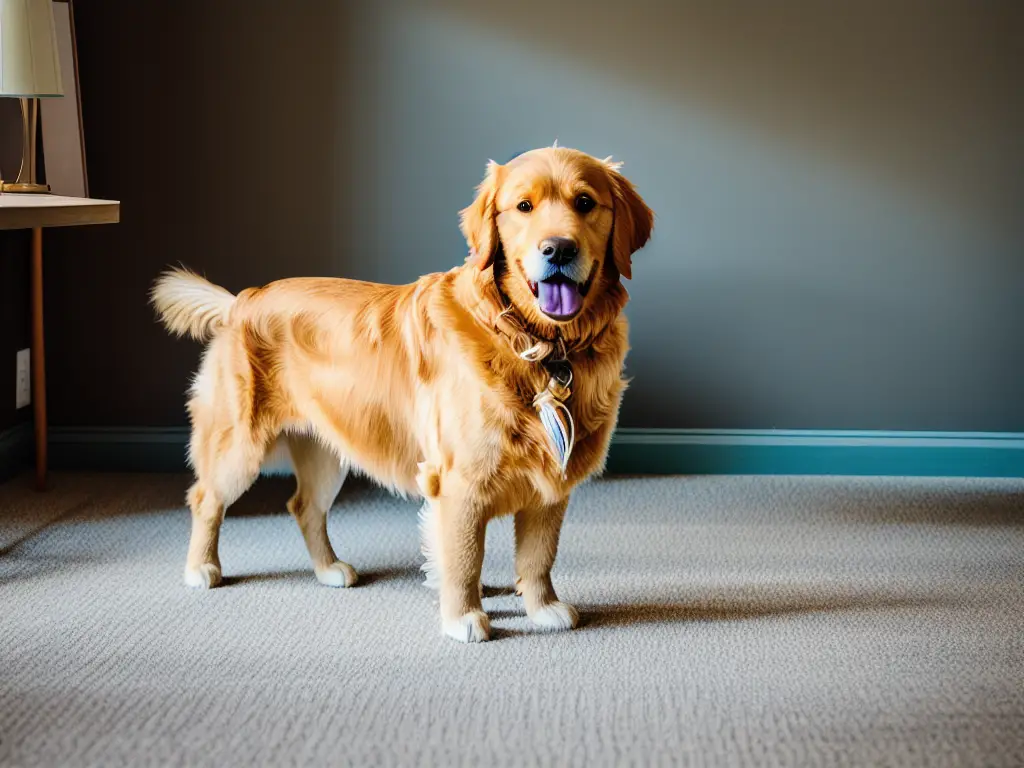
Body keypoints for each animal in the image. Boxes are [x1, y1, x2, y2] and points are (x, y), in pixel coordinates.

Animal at [149, 144, 651, 643]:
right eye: (524, 207)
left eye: (584, 202)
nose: (558, 249)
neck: (535, 343)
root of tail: (241, 300)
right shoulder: (459, 480)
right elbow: (464, 558)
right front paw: (463, 616)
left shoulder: (550, 477)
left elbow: (538, 555)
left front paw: (542, 607)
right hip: (239, 444)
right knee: (206, 499)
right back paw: (201, 568)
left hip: (328, 451)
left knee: (303, 506)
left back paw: (329, 569)